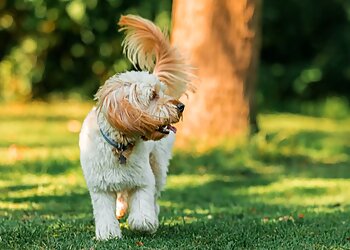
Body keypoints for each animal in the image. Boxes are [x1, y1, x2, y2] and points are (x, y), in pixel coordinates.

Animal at [78, 14, 194, 240]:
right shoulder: (100, 187)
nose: (181, 107)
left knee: (154, 195)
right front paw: (108, 234)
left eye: (163, 92)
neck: (121, 145)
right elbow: (105, 212)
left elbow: (142, 211)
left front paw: (145, 224)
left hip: (157, 165)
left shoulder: (143, 180)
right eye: (153, 95)